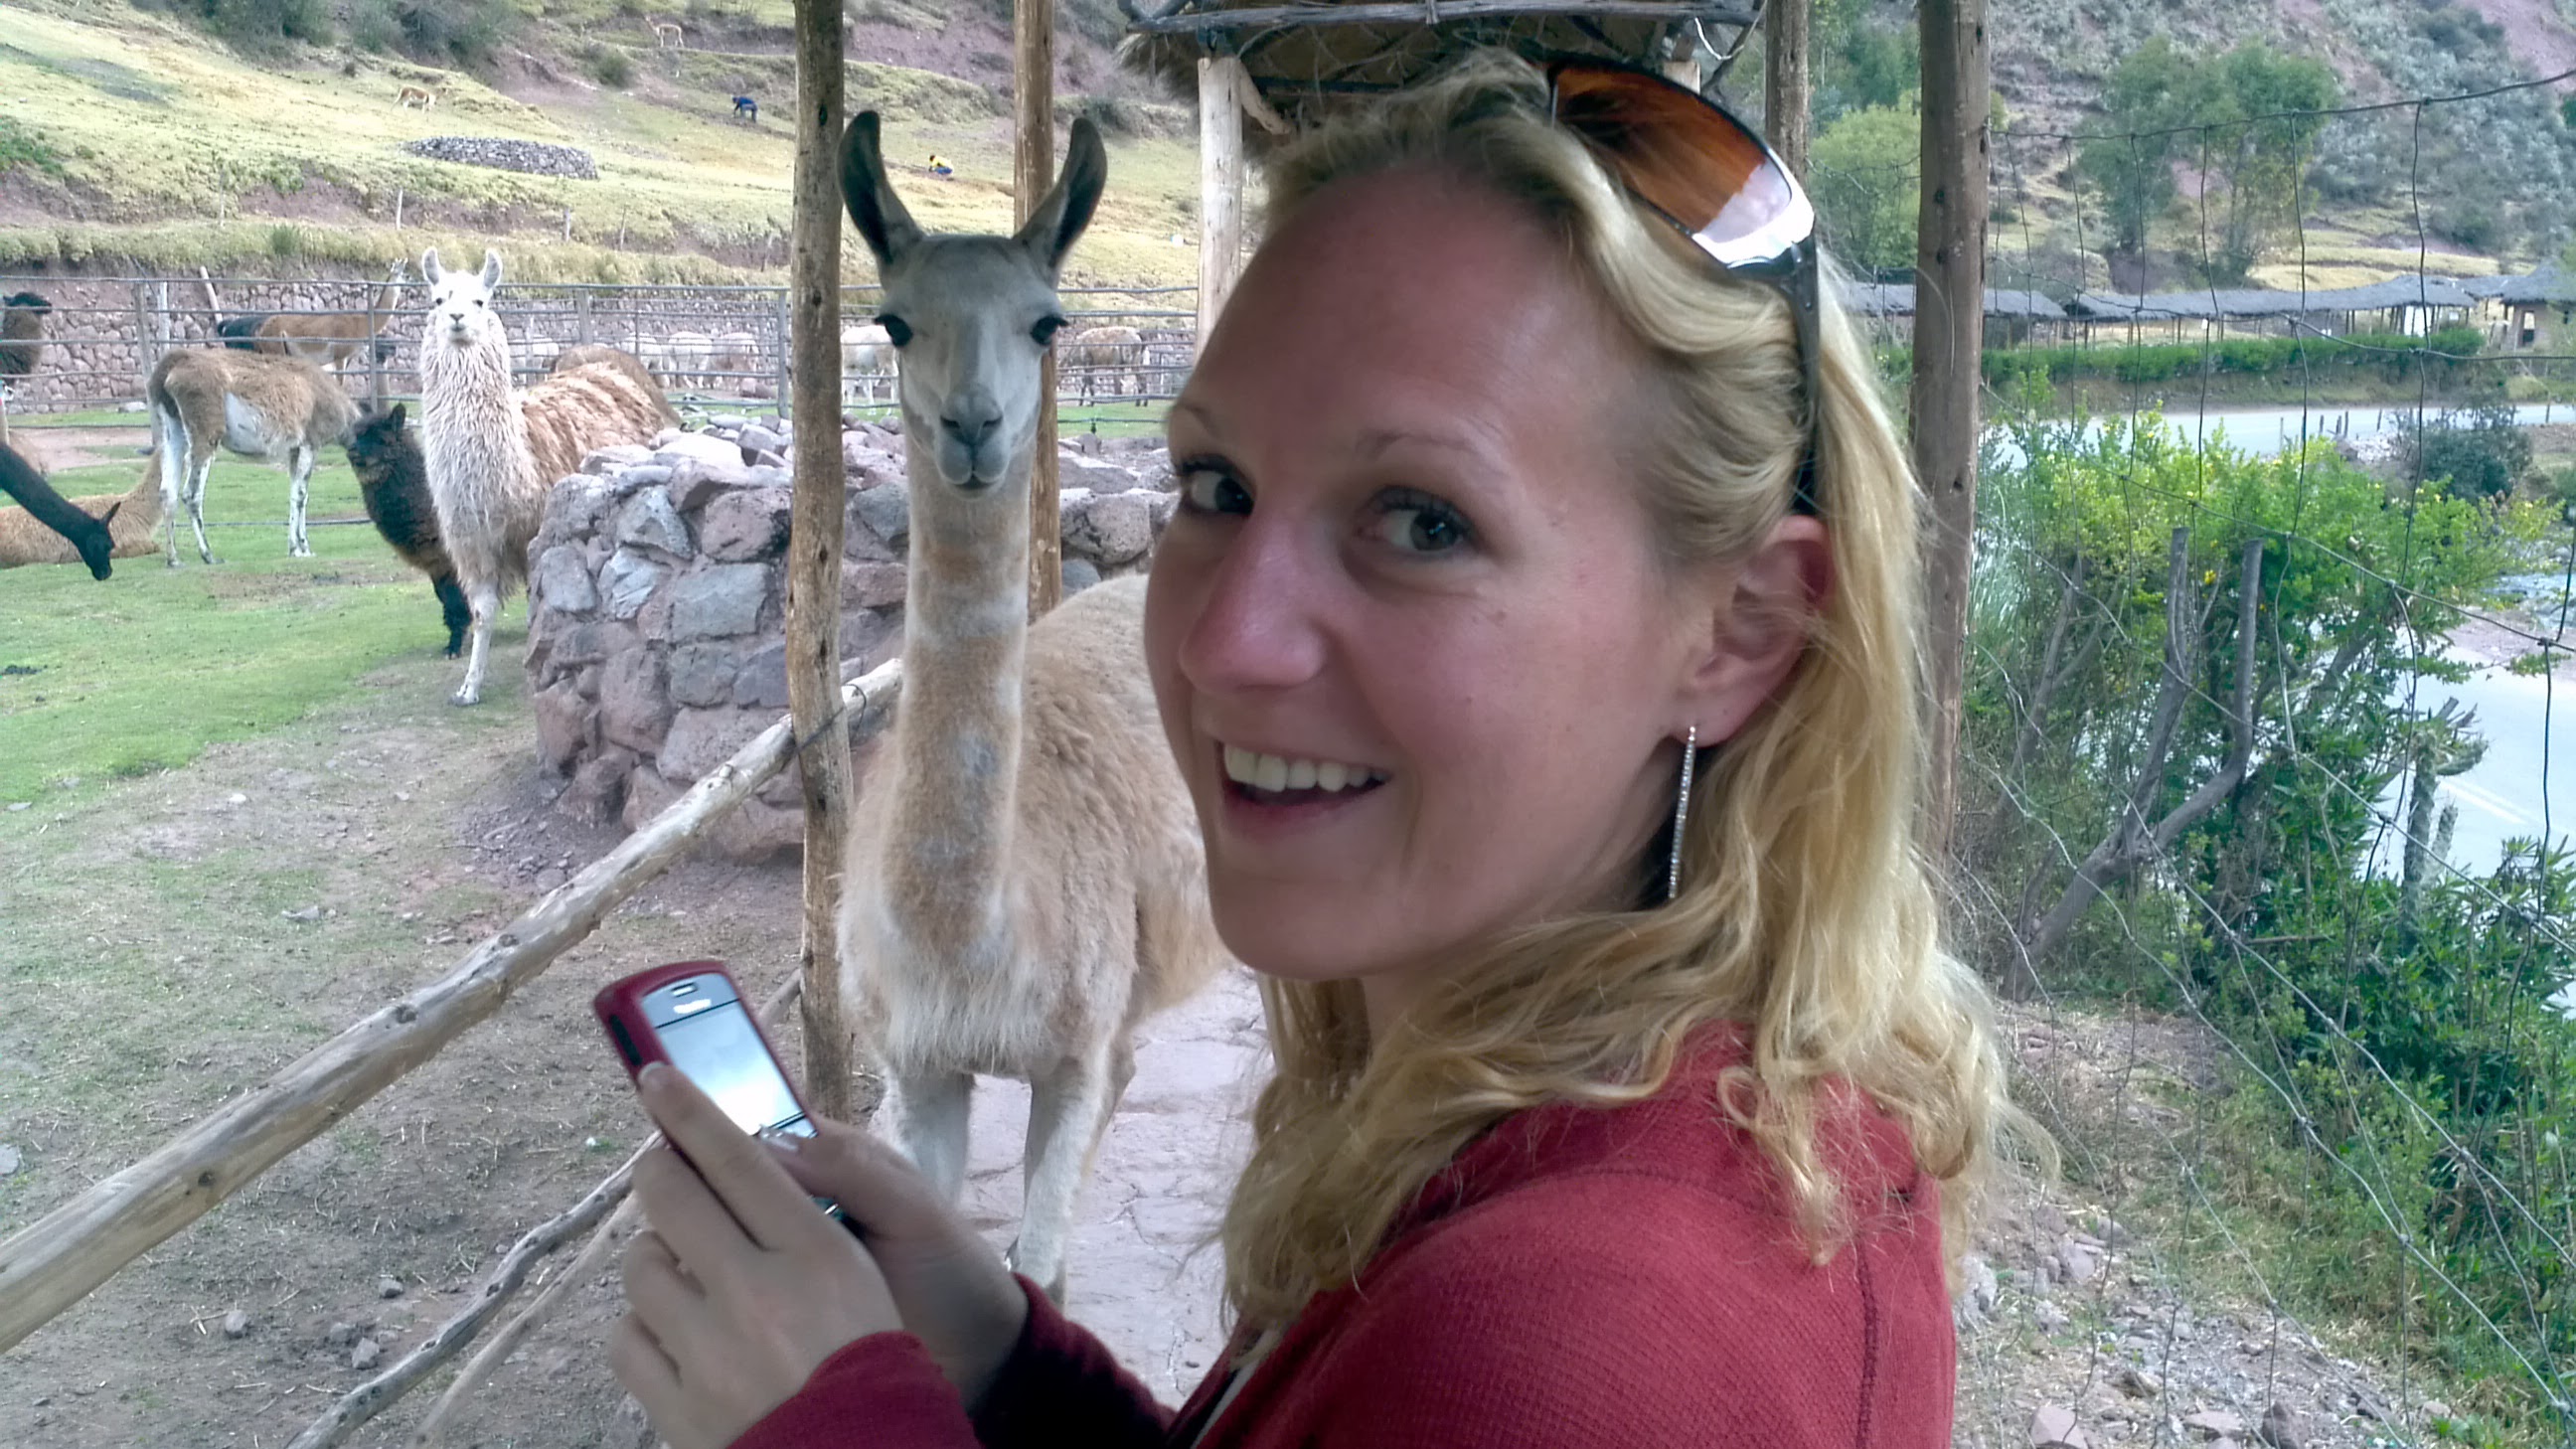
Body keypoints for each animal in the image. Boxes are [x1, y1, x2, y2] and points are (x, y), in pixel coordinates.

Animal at [146, 348, 360, 565]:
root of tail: (171, 364)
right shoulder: (311, 443)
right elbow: (301, 496)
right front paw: (302, 549)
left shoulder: (295, 449)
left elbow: (295, 494)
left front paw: (296, 548)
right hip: (206, 429)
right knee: (191, 493)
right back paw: (208, 555)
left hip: (171, 428)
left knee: (167, 492)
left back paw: (173, 559)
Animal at [250, 261, 408, 369]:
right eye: (402, 274)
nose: (411, 280)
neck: (362, 322)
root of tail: (261, 329)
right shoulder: (340, 357)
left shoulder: (348, 358)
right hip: (276, 350)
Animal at [415, 246, 681, 705]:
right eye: (438, 299)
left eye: (480, 300)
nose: (457, 318)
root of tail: (609, 365)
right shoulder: (474, 542)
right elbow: (482, 613)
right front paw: (469, 686)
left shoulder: (540, 531)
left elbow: (544, 606)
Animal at [833, 110, 1226, 1304]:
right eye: (893, 320)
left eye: (1048, 321)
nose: (974, 425)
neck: (972, 942)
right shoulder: (919, 1066)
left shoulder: (1065, 1047)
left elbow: (1042, 1273)